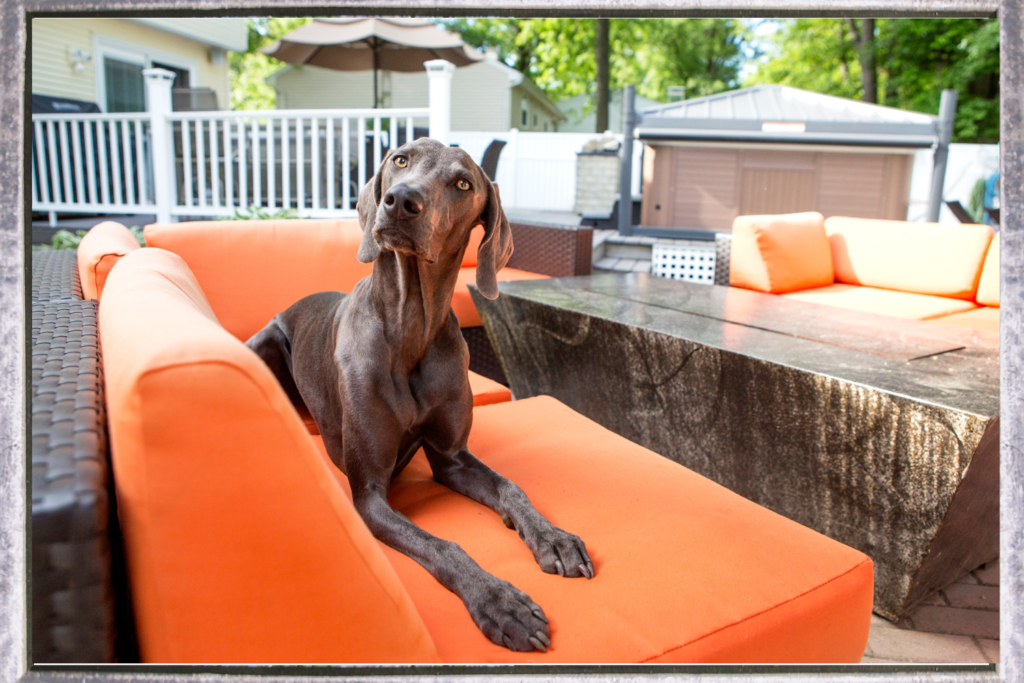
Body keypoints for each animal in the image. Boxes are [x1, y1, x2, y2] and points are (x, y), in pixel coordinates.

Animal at [246, 137, 593, 651]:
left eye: (463, 183)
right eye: (401, 159)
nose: (401, 201)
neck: (409, 327)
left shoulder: (452, 457)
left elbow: (511, 488)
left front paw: (553, 536)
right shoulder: (368, 495)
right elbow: (444, 545)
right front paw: (500, 601)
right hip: (264, 342)